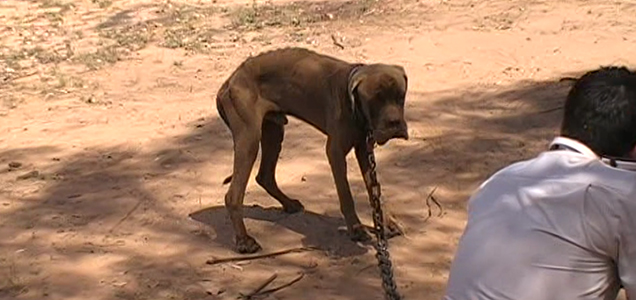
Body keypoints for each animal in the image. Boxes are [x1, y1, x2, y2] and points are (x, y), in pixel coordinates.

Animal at [216, 47, 410, 253]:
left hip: (274, 131)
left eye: (401, 96)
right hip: (249, 138)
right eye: (375, 99)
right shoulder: (335, 152)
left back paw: (289, 204)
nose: (395, 124)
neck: (353, 103)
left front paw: (387, 223)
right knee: (233, 195)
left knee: (264, 176)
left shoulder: (364, 150)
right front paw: (356, 229)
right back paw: (244, 240)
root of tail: (230, 80)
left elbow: (375, 193)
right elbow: (346, 194)